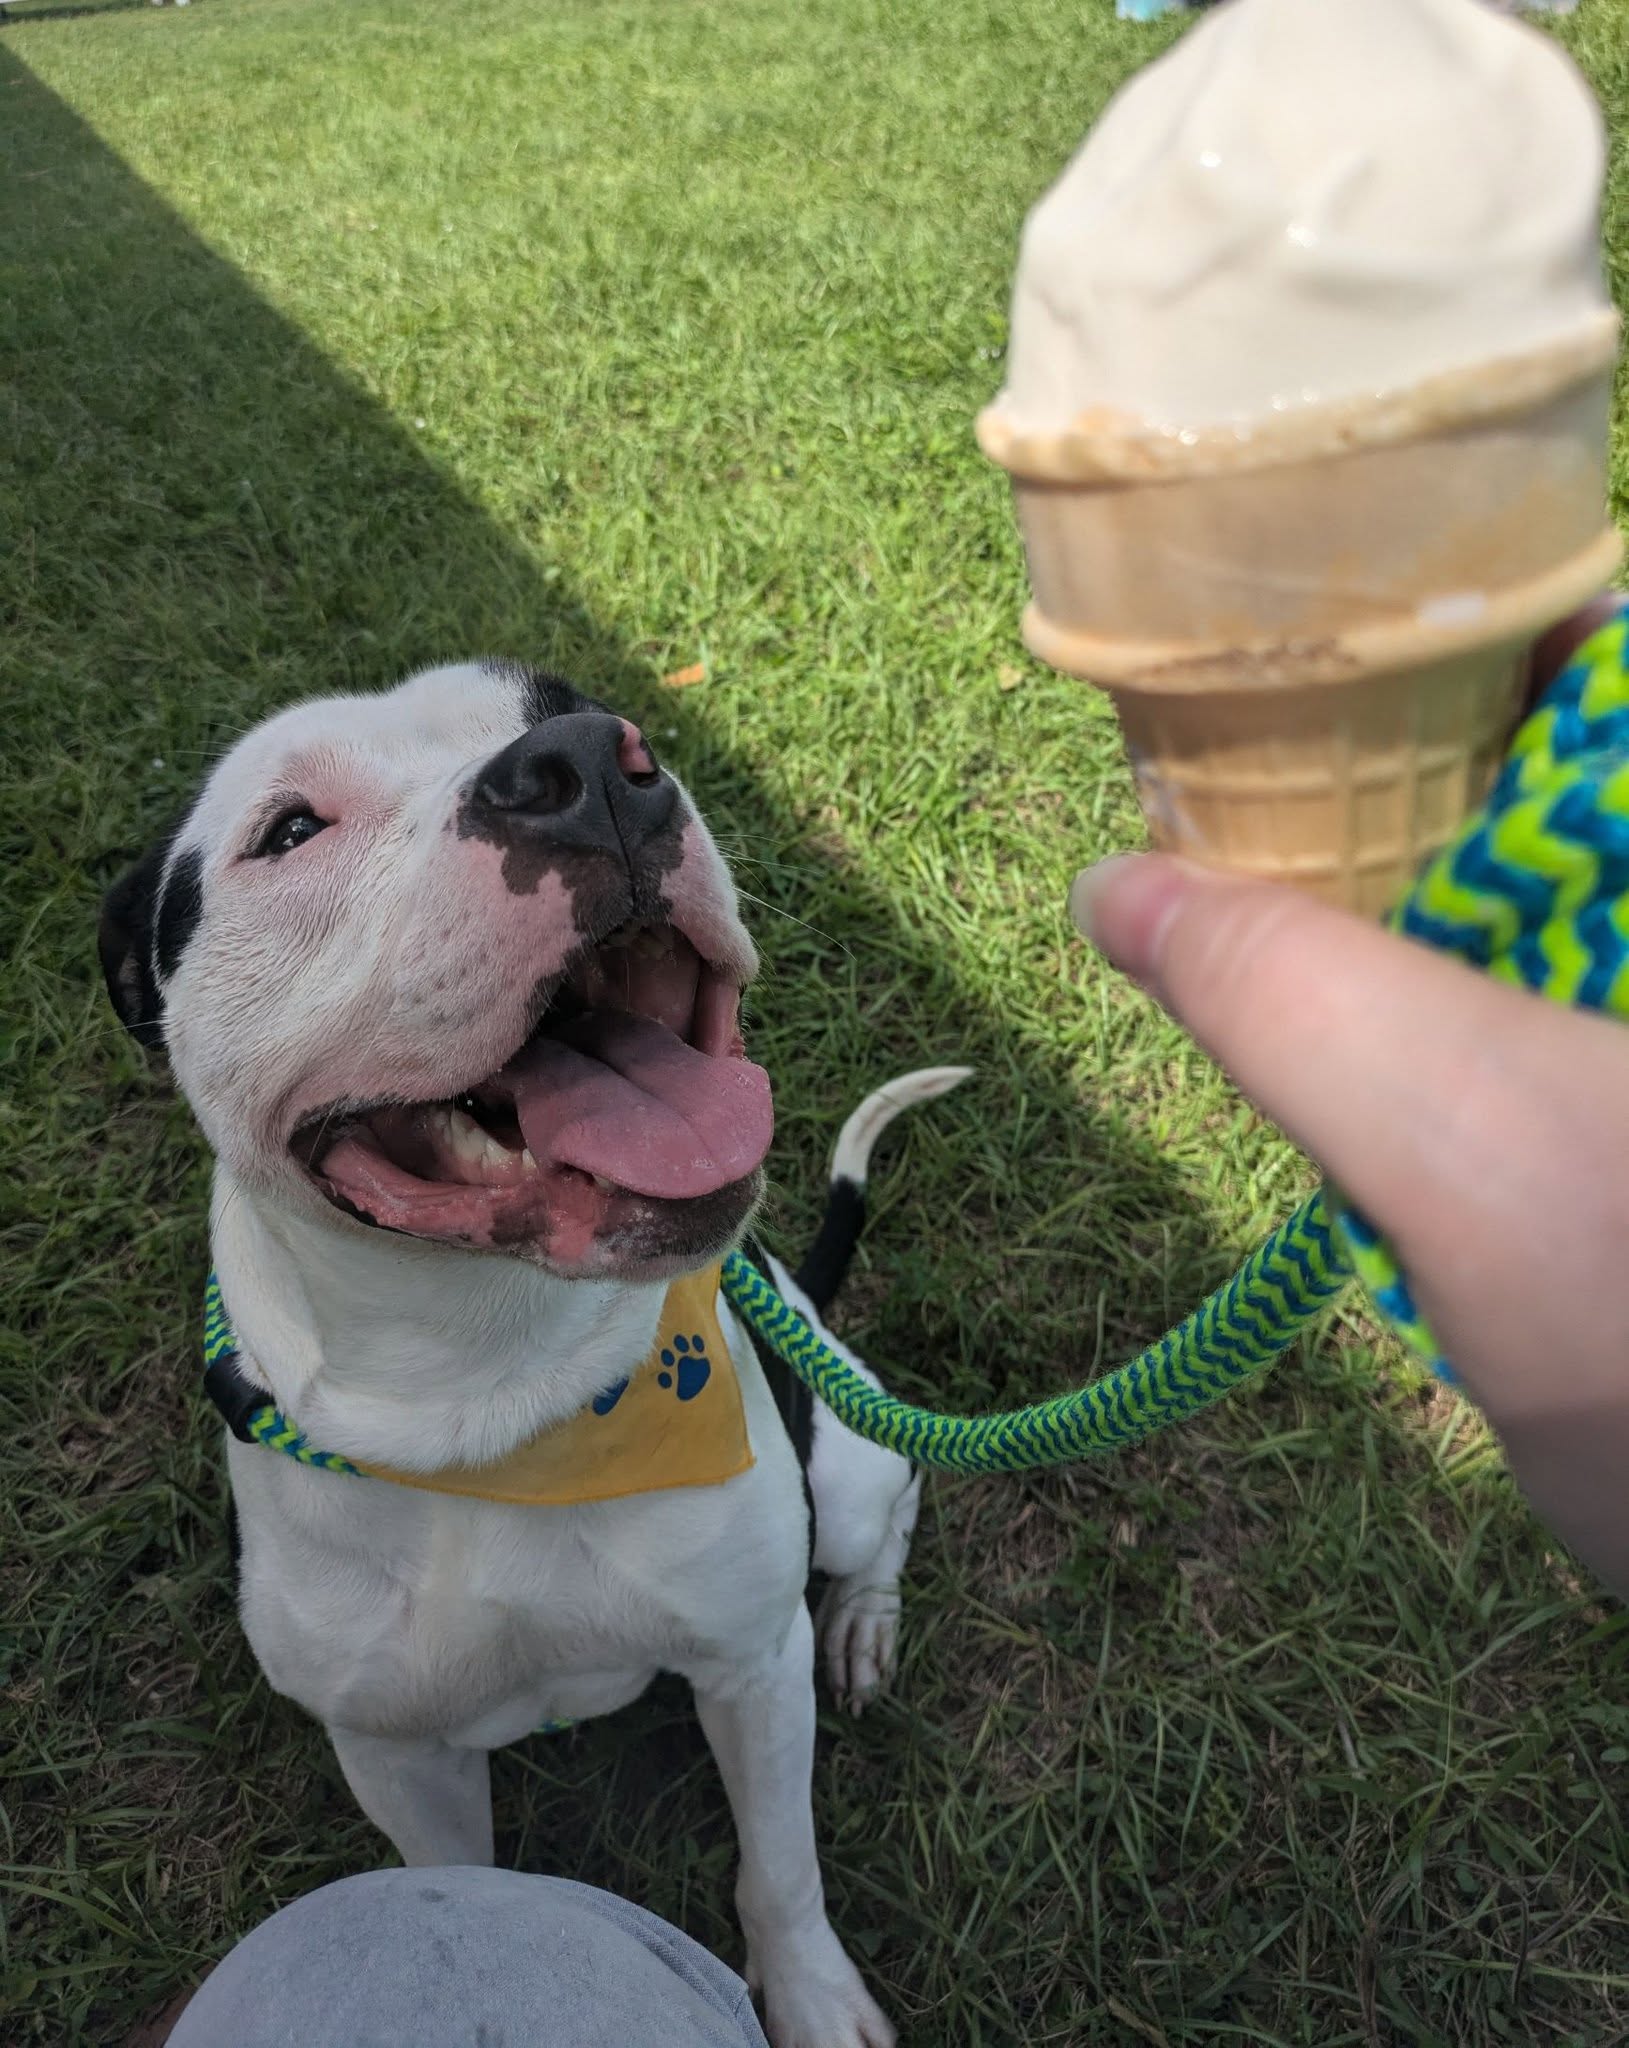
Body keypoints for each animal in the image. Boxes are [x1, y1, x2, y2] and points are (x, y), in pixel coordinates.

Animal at [98, 659, 967, 2048]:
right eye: (290, 829)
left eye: (557, 705)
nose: (592, 766)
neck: (497, 1400)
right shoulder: (396, 1752)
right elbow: (463, 1878)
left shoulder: (750, 1661)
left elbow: (779, 1866)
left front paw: (815, 1996)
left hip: (843, 1472)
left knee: (888, 1509)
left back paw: (863, 1622)